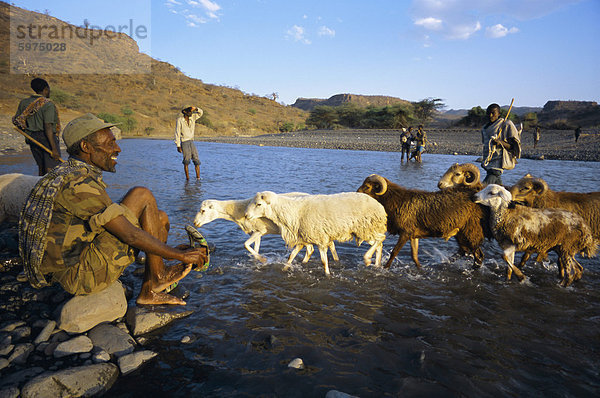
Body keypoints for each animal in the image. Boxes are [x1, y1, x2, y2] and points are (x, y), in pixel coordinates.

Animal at [193, 194, 338, 262]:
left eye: (203, 211)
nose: (195, 223)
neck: (238, 210)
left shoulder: (259, 230)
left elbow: (245, 245)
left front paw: (262, 259)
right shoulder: (257, 233)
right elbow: (254, 247)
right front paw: (257, 260)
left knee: (312, 248)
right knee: (326, 245)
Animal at [246, 191, 386, 276]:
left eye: (259, 204)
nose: (246, 215)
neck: (293, 211)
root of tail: (380, 206)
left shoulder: (321, 238)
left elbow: (324, 261)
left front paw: (327, 274)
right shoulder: (303, 237)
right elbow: (291, 256)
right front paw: (284, 269)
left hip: (367, 228)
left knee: (381, 239)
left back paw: (367, 259)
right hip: (363, 231)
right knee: (379, 244)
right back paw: (377, 265)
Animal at [358, 173, 486, 268]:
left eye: (367, 186)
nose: (356, 193)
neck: (396, 201)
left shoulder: (405, 233)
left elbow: (394, 252)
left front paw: (385, 268)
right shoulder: (414, 235)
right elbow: (414, 256)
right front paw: (420, 269)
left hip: (472, 232)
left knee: (479, 256)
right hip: (460, 234)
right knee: (464, 251)